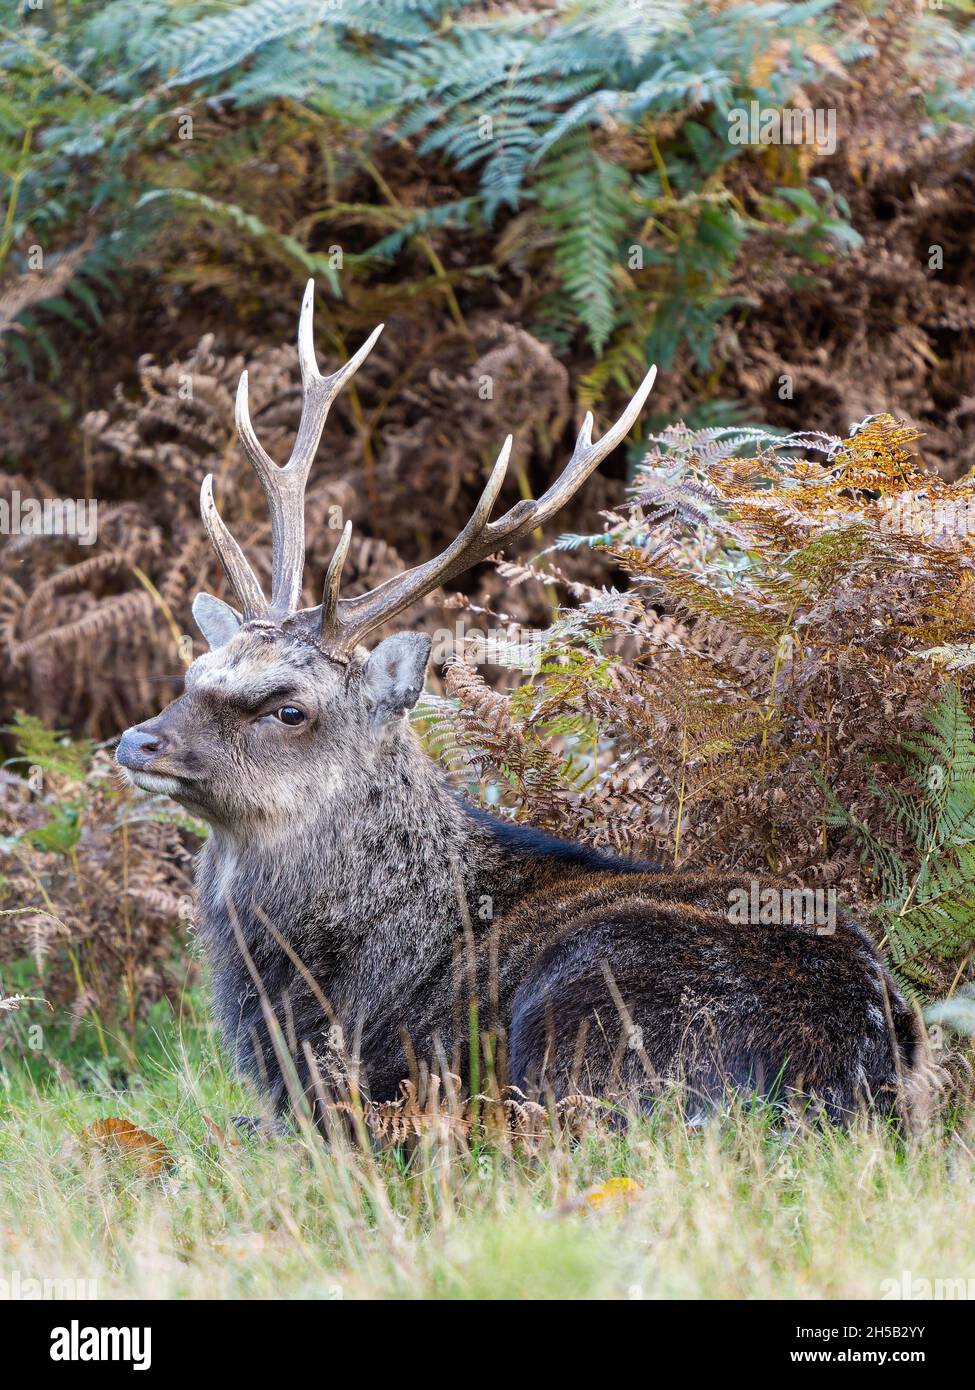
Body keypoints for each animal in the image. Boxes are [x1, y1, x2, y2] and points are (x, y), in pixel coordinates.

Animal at [116, 282, 922, 1130]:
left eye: (289, 709)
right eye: (195, 672)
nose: (139, 742)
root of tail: (853, 1077)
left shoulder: (355, 1089)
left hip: (586, 1018)